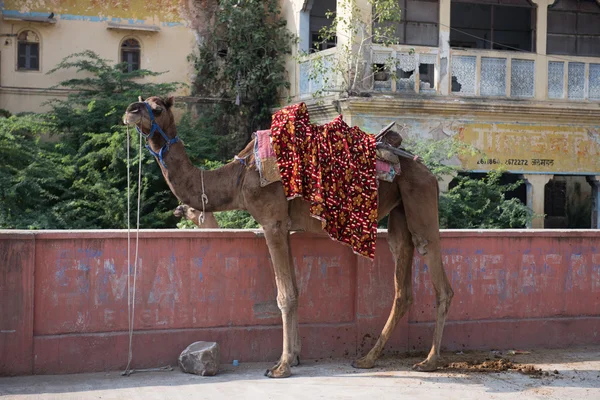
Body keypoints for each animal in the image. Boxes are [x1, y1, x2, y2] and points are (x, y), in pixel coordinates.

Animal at [124, 96, 454, 378]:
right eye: (142, 101)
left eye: (157, 108)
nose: (130, 111)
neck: (239, 178)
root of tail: (428, 171)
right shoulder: (286, 228)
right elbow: (295, 288)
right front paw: (295, 356)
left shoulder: (272, 222)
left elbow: (285, 295)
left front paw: (280, 366)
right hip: (400, 212)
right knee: (403, 281)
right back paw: (368, 359)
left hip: (420, 197)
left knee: (437, 273)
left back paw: (429, 361)